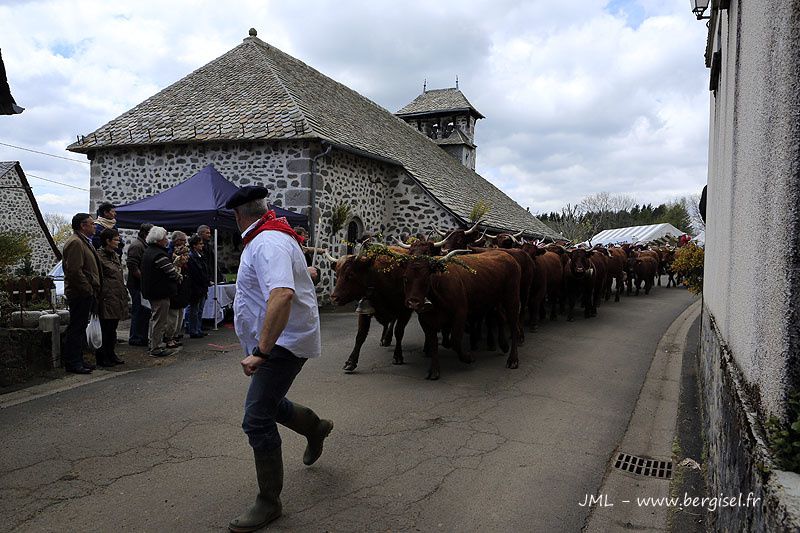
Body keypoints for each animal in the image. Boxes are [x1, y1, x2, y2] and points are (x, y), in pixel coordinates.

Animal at [404, 249, 520, 378]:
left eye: (426, 278)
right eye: (406, 278)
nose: (413, 302)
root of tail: (506, 255)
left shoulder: (460, 313)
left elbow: (455, 341)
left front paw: (468, 358)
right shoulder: (425, 321)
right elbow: (433, 344)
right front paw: (434, 371)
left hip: (512, 299)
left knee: (513, 326)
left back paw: (513, 360)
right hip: (494, 302)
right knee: (501, 318)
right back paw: (504, 346)